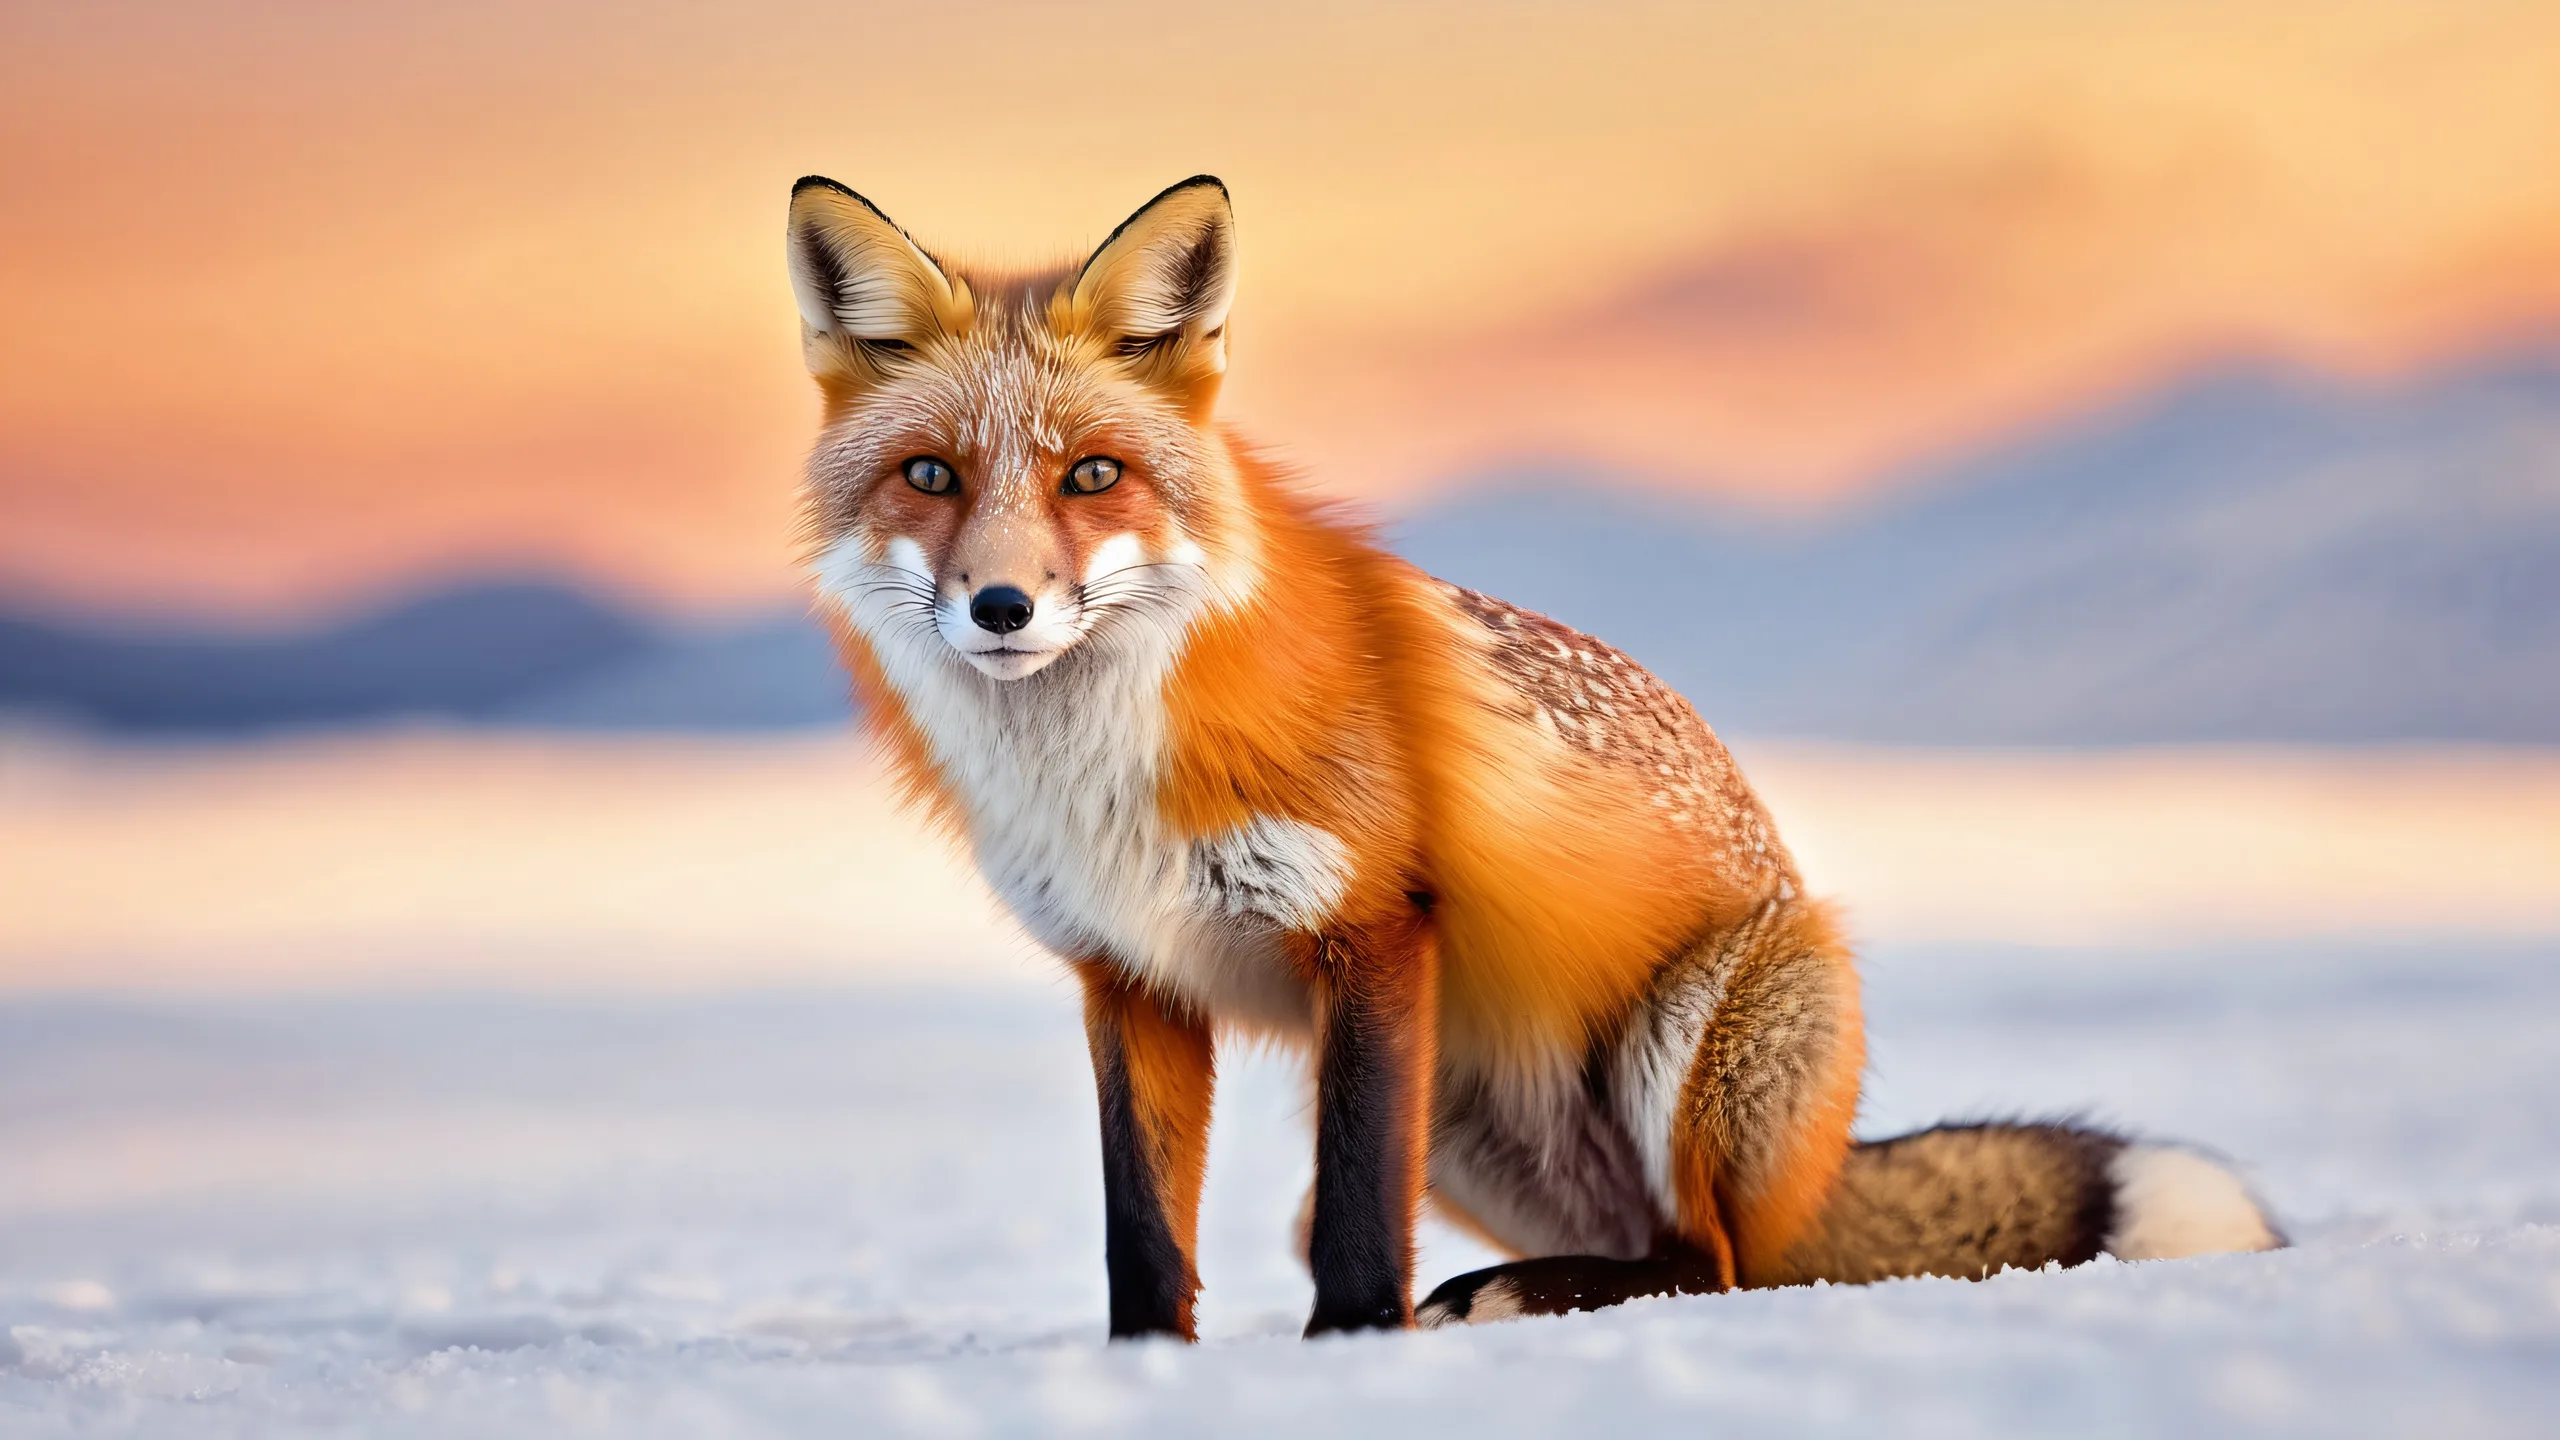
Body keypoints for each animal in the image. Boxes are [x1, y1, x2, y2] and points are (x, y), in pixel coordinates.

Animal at [785, 174, 2284, 1339]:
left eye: (1092, 476)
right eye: (931, 476)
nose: (1001, 608)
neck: (1098, 771)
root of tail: (1815, 1170)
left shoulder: (1374, 928)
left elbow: (1352, 1221)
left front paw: (1350, 1351)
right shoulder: (1131, 976)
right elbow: (1143, 1230)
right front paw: (1145, 1369)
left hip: (1684, 1048)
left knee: (1716, 1269)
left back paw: (1514, 1297)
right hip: (1465, 1109)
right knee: (1655, 1250)